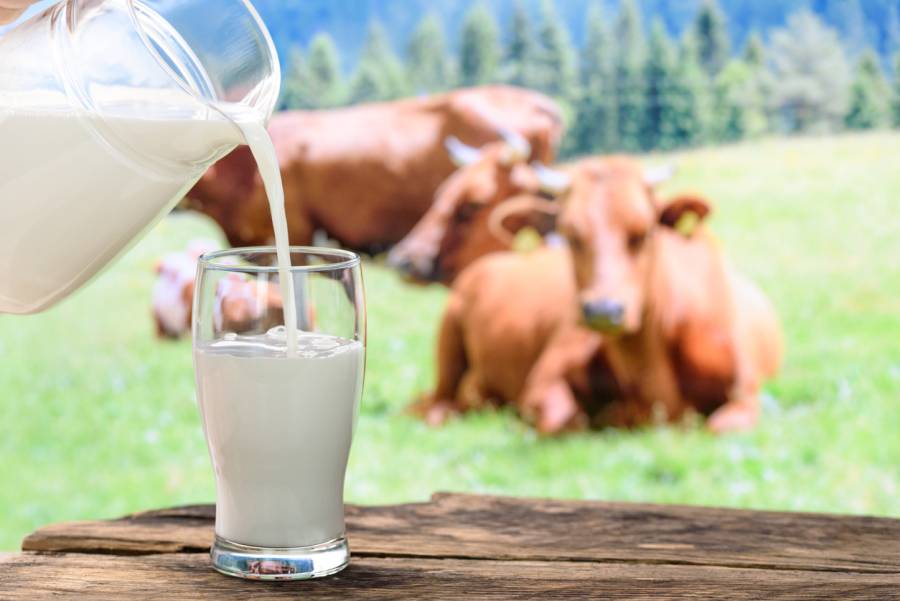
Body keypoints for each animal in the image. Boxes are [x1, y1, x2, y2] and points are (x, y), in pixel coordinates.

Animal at [416, 157, 780, 434]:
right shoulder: (544, 379)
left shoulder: (744, 394)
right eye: (570, 235)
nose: (603, 310)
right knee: (433, 404)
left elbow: (721, 424)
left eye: (643, 232)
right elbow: (567, 419)